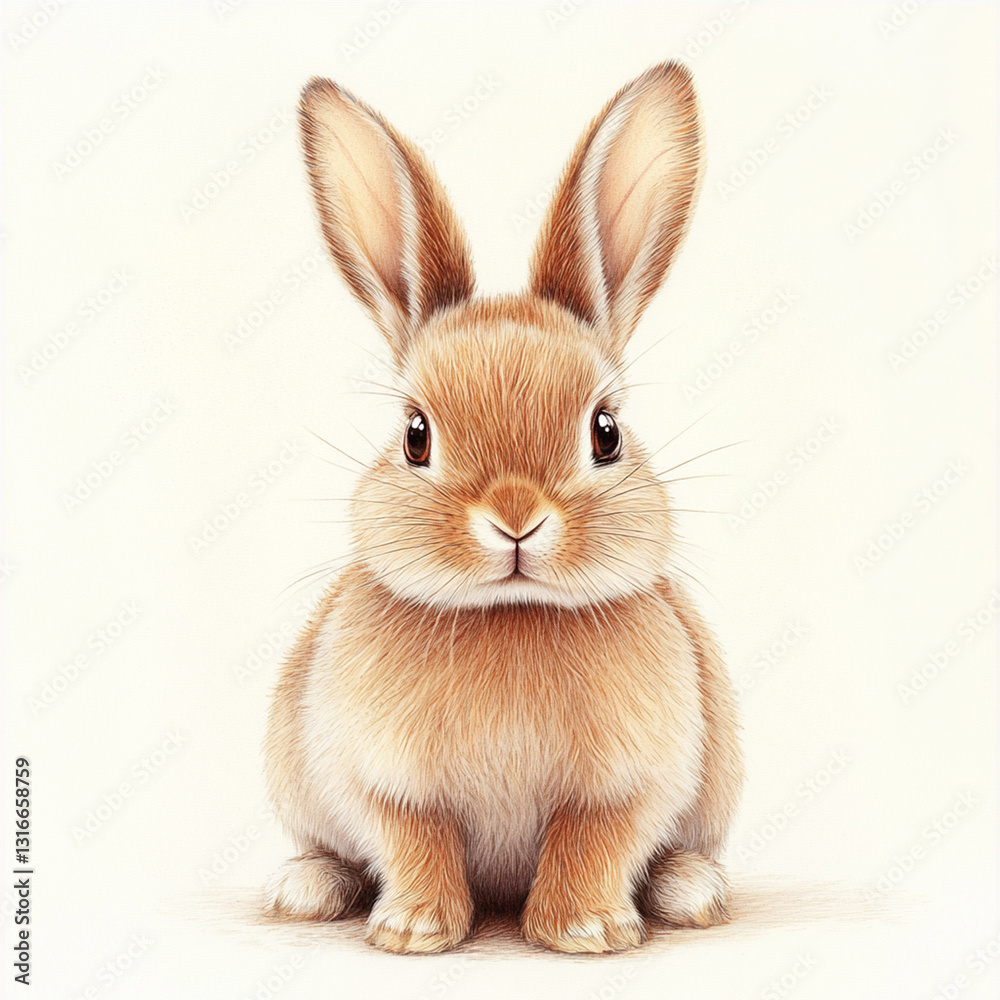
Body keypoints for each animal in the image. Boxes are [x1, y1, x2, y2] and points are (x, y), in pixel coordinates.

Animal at [263, 60, 743, 955]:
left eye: (605, 432)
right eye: (415, 436)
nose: (515, 517)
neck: (511, 614)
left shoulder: (629, 785)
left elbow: (593, 841)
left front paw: (586, 931)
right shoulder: (383, 781)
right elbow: (414, 840)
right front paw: (413, 931)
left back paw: (692, 891)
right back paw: (304, 889)